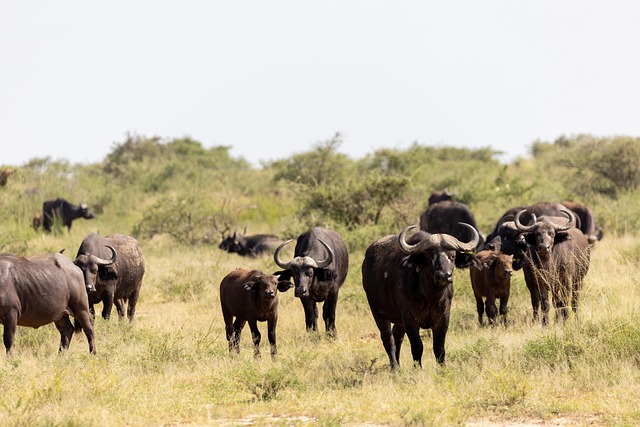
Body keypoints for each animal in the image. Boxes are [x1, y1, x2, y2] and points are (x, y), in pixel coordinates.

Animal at [362, 223, 479, 368]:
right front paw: (418, 368)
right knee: (388, 339)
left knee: (397, 336)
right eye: (429, 256)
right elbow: (417, 347)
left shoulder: (444, 317)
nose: (444, 276)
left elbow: (439, 348)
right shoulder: (409, 318)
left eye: (452, 256)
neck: (430, 296)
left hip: (399, 320)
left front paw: (442, 369)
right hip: (377, 312)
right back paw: (394, 367)